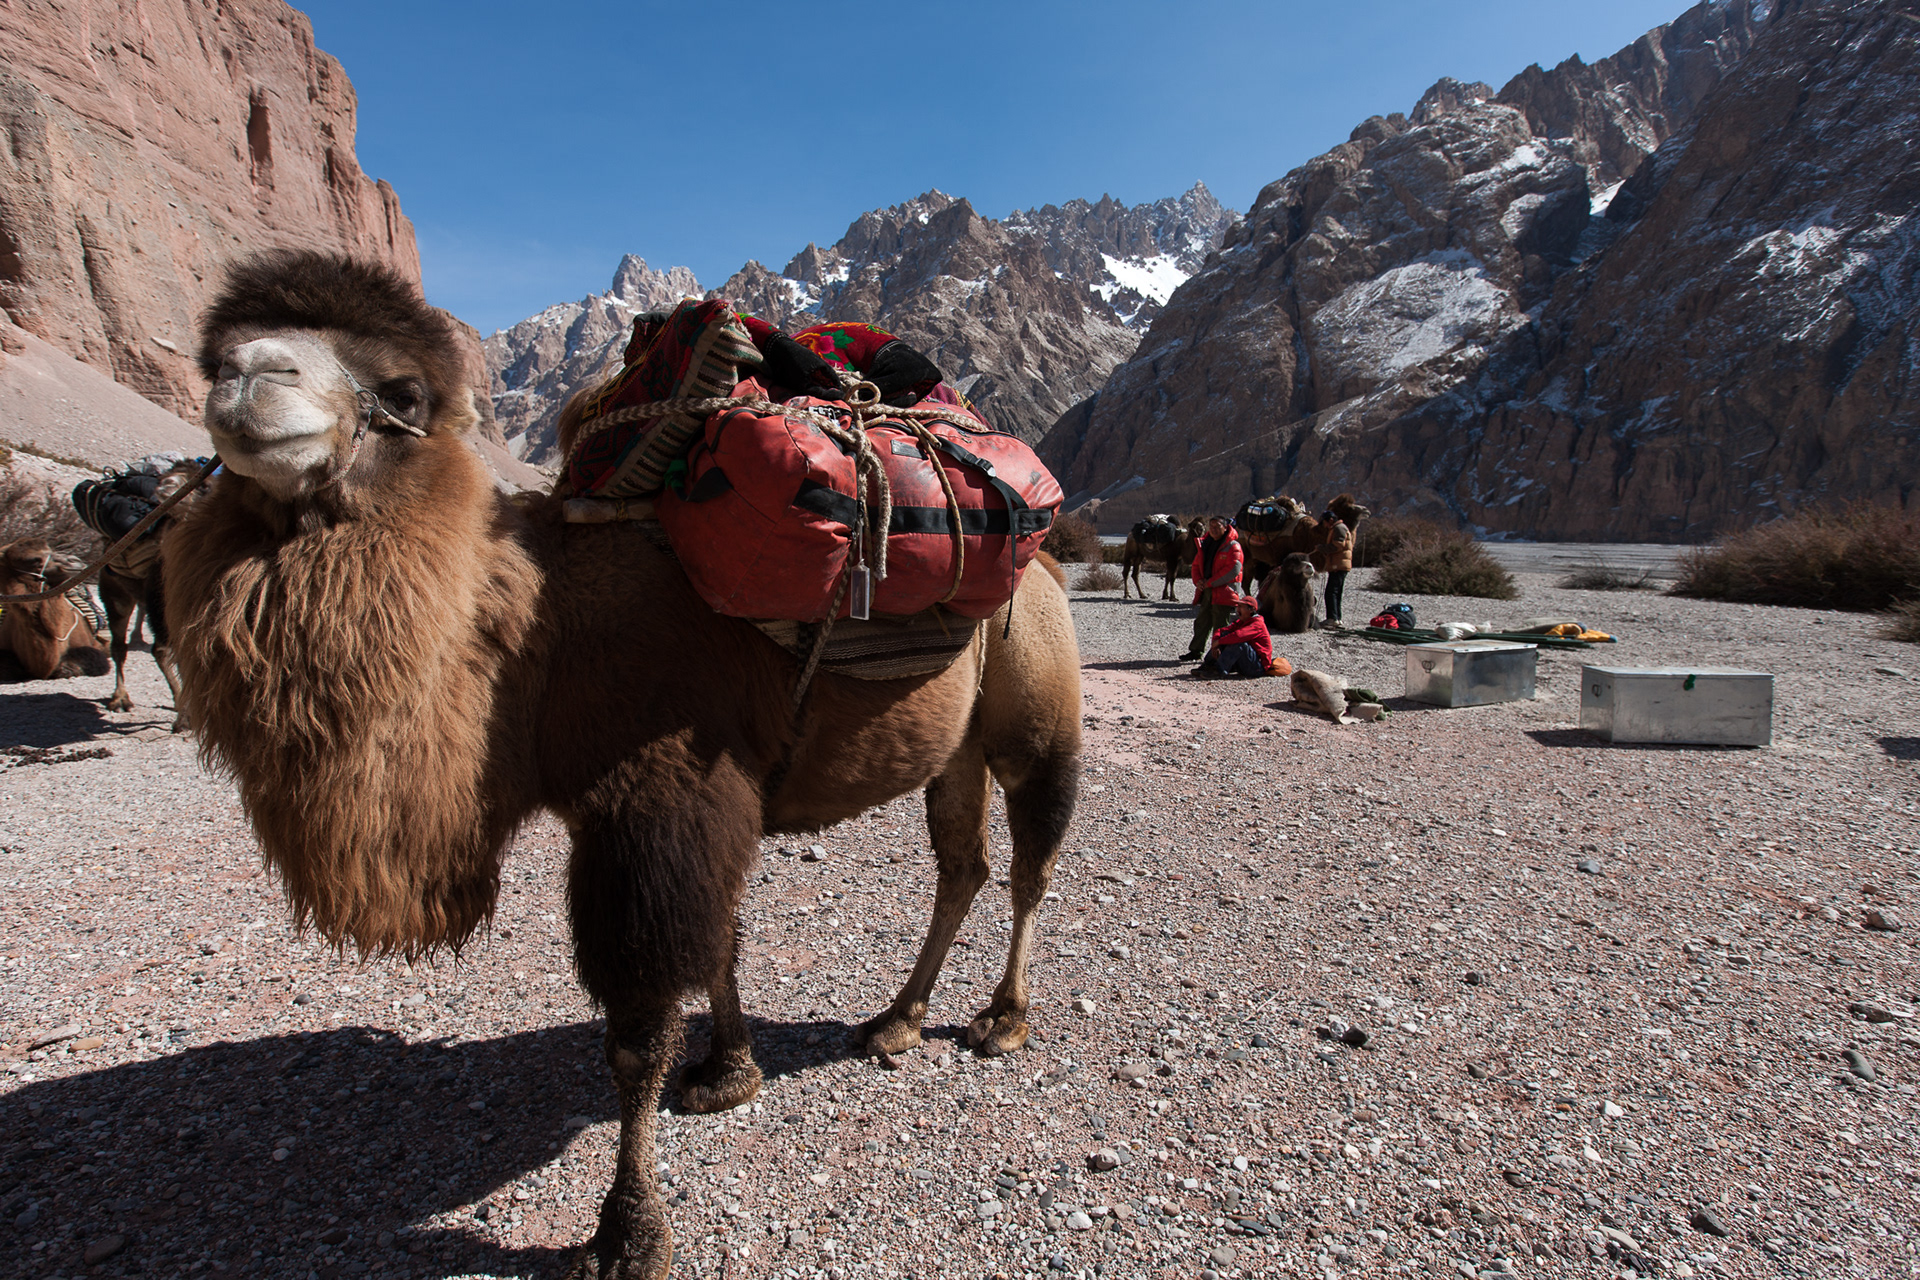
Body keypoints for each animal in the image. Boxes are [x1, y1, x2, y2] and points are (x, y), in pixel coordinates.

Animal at [165, 252, 1082, 1280]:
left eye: (401, 393)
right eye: (216, 358)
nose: (252, 375)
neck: (539, 635)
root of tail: (1048, 560)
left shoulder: (659, 792)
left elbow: (637, 1033)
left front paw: (627, 1231)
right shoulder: (696, 802)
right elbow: (717, 943)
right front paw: (729, 1072)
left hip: (1036, 696)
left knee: (1033, 861)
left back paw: (1002, 1018)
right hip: (953, 744)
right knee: (961, 865)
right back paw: (899, 1018)